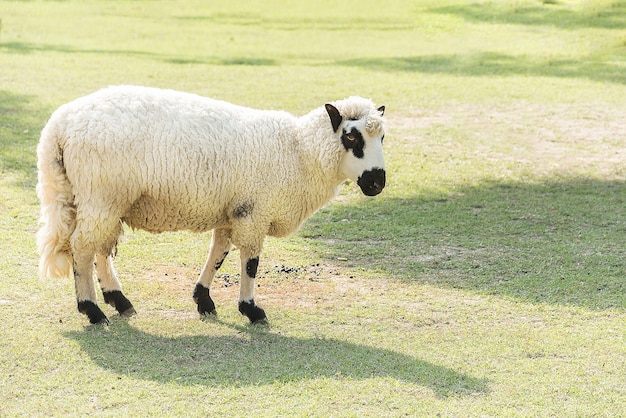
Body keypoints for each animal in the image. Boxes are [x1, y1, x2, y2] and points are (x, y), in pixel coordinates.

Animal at [36, 86, 386, 324]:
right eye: (351, 137)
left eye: (382, 138)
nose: (377, 182)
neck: (298, 152)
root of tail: (58, 125)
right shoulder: (254, 213)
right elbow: (251, 263)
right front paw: (251, 309)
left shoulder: (234, 211)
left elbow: (218, 253)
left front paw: (203, 299)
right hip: (101, 194)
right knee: (82, 247)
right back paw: (92, 309)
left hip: (107, 199)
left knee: (100, 248)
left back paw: (118, 300)